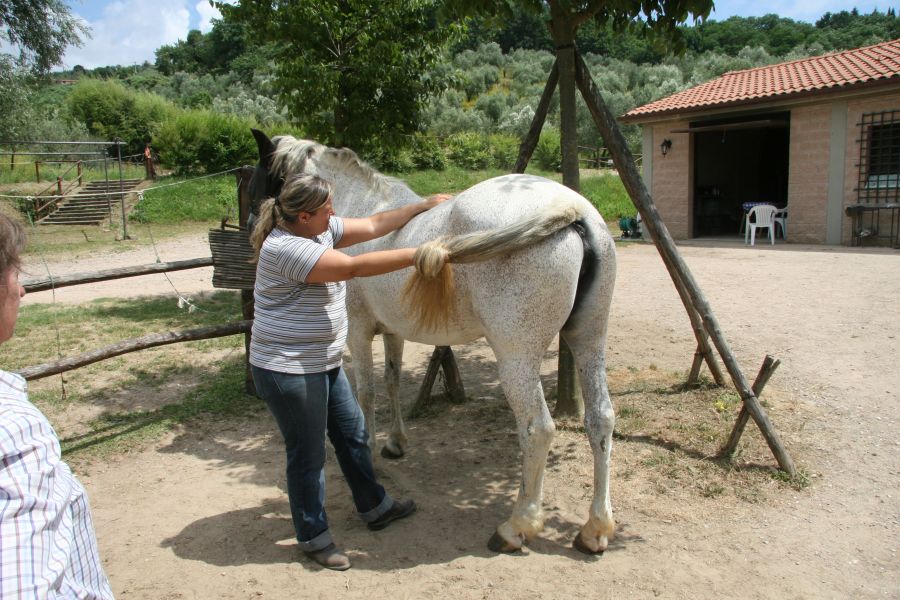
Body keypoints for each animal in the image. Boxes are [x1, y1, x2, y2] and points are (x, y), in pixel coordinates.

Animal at [250, 129, 624, 556]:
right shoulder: (392, 331)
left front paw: (370, 452)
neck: (362, 204)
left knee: (537, 430)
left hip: (517, 359)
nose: (255, 233)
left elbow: (366, 391)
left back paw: (517, 526)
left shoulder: (357, 329)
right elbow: (392, 380)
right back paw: (596, 529)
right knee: (601, 419)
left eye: (257, 180)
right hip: (589, 339)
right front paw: (395, 444)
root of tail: (572, 210)